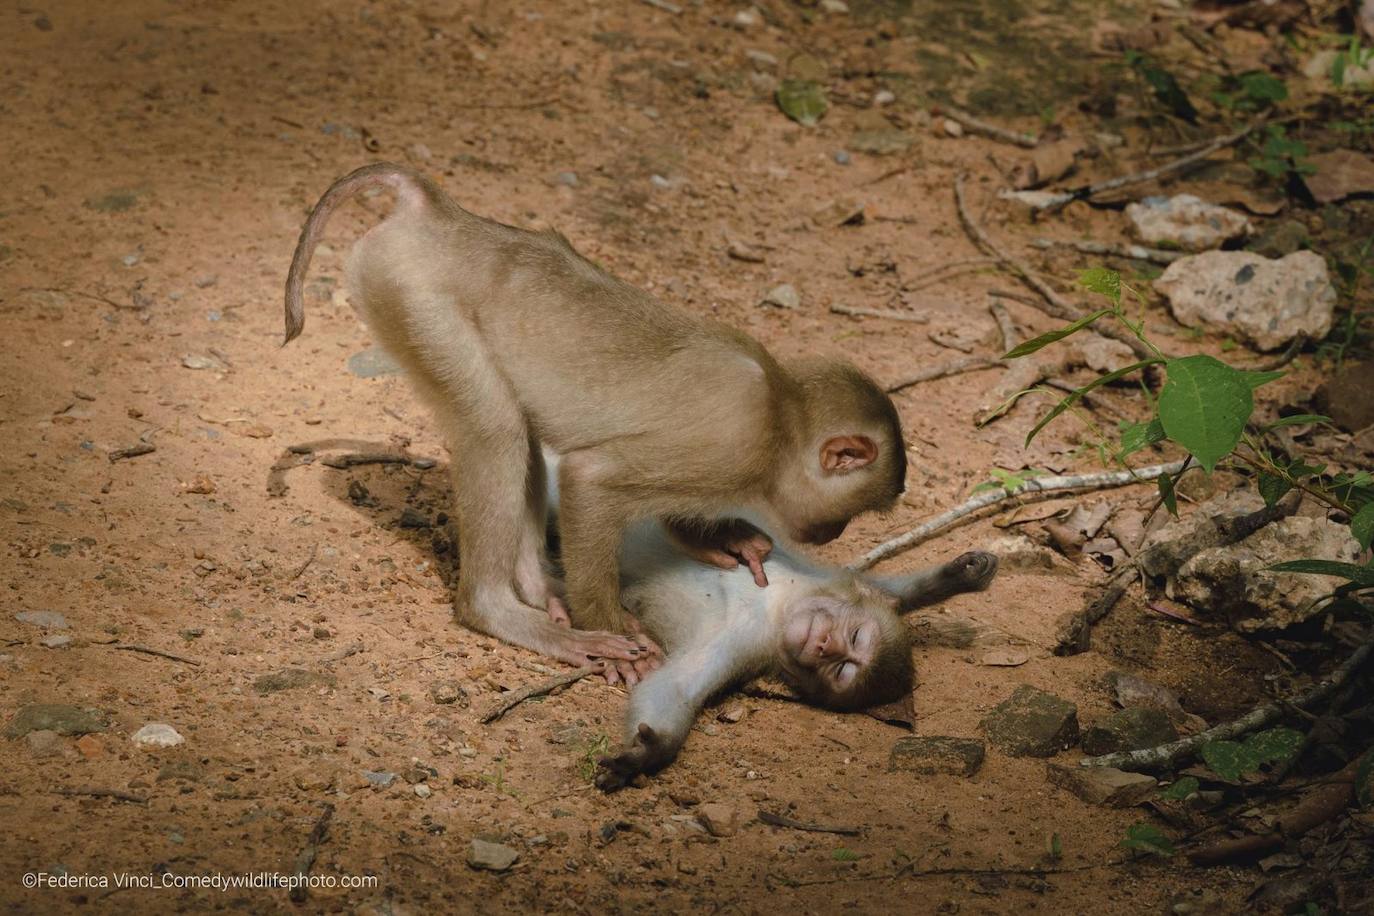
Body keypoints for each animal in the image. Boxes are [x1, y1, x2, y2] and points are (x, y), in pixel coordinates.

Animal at [283, 163, 907, 684]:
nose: (833, 534)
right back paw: (504, 611)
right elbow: (591, 478)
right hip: (414, 298)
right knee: (497, 428)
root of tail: (437, 214)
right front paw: (609, 627)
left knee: (520, 431)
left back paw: (538, 586)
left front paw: (717, 537)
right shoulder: (736, 446)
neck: (781, 412)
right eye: (851, 514)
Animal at [536, 452, 998, 790]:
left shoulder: (745, 643)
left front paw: (646, 754)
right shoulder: (815, 578)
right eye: (853, 636)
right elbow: (879, 587)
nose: (825, 645)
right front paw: (959, 575)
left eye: (842, 670)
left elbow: (675, 685)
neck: (779, 607)